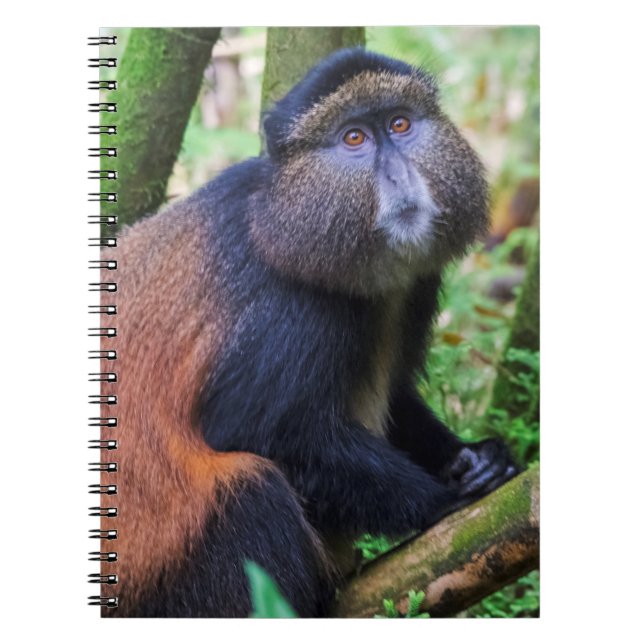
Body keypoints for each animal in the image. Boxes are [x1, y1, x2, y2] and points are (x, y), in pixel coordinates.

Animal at [99, 47, 518, 618]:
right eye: (354, 138)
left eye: (400, 124)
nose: (399, 176)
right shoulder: (289, 308)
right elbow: (253, 428)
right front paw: (444, 498)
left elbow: (399, 397)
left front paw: (476, 458)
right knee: (251, 490)